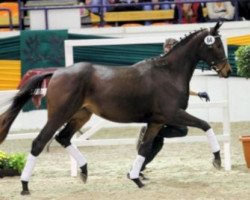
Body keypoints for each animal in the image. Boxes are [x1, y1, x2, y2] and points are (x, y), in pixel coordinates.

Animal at [0, 22, 230, 195]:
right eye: (216, 45)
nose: (227, 71)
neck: (169, 74)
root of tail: (56, 73)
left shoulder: (156, 121)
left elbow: (145, 147)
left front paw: (136, 178)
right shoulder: (173, 114)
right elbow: (205, 125)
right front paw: (217, 160)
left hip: (81, 115)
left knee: (63, 137)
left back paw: (84, 170)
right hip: (59, 115)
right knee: (39, 142)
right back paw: (25, 186)